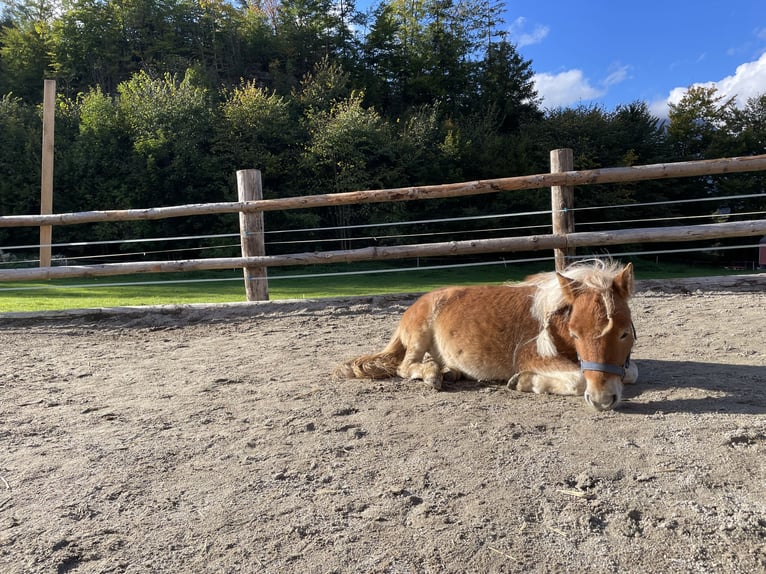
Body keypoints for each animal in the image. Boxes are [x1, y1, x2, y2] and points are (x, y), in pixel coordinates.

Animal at [332, 258, 640, 412]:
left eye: (625, 333)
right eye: (575, 334)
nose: (602, 400)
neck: (554, 316)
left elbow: (631, 371)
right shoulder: (534, 357)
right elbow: (578, 379)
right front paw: (524, 381)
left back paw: (450, 372)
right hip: (419, 335)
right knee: (405, 366)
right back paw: (432, 374)